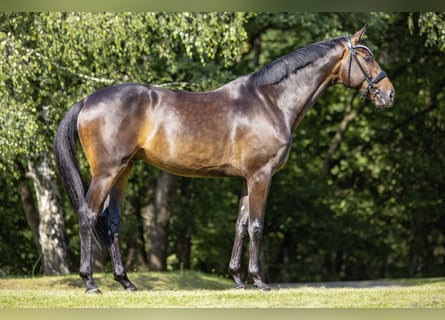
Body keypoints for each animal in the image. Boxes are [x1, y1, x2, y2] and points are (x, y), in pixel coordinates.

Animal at [53, 25, 394, 292]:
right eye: (366, 56)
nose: (389, 94)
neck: (271, 101)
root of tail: (88, 100)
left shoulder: (247, 178)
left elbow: (240, 225)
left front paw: (238, 279)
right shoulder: (261, 175)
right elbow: (256, 225)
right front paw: (258, 280)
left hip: (124, 171)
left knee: (111, 222)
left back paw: (126, 282)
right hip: (106, 172)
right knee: (88, 214)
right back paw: (90, 282)